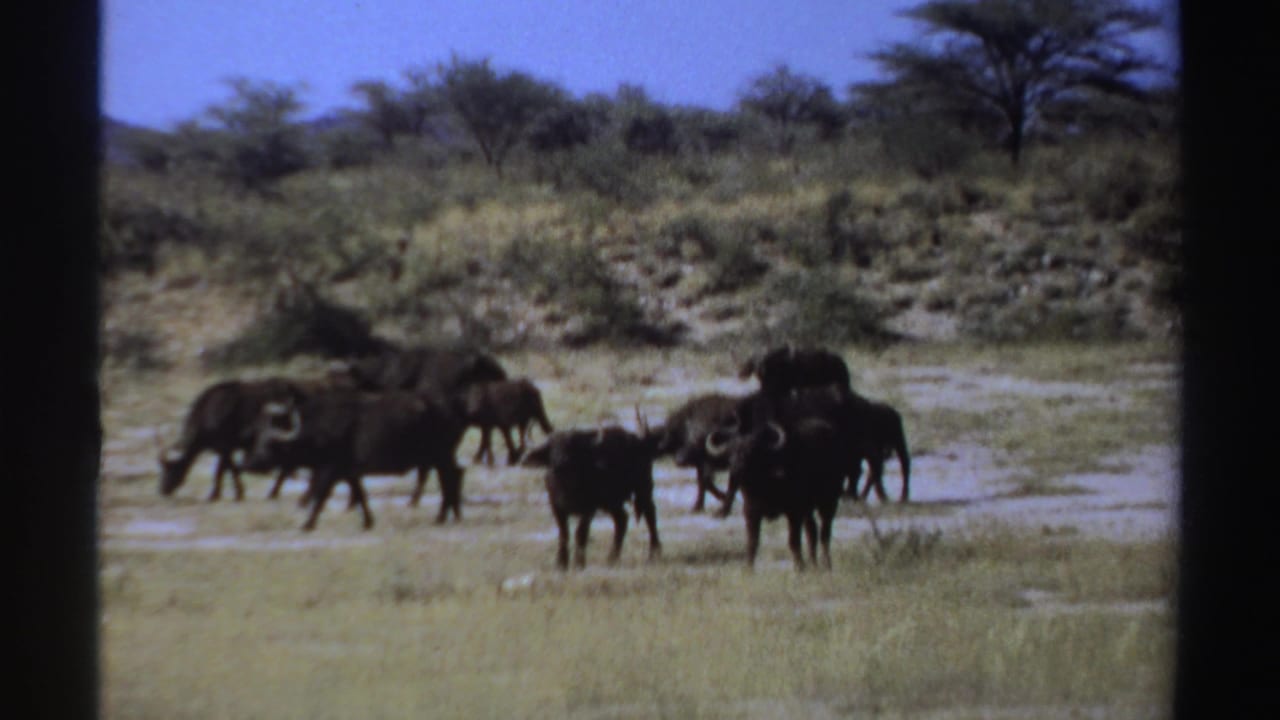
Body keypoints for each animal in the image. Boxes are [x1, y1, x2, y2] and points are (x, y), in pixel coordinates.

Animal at [243, 388, 466, 531]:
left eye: (270, 443)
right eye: (258, 437)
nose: (249, 463)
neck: (316, 431)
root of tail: (451, 408)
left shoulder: (330, 469)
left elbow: (320, 496)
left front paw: (307, 524)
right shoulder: (349, 472)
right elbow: (360, 495)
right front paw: (368, 522)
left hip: (440, 456)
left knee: (450, 477)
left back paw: (442, 516)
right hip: (440, 457)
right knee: (454, 475)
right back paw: (453, 515)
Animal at [522, 412, 662, 570]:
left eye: (572, 446)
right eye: (552, 448)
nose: (561, 461)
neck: (567, 485)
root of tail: (640, 442)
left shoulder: (589, 509)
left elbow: (580, 533)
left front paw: (579, 562)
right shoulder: (557, 507)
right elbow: (563, 534)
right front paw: (561, 563)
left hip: (643, 488)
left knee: (650, 514)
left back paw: (653, 553)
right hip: (612, 502)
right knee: (622, 519)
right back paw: (612, 557)